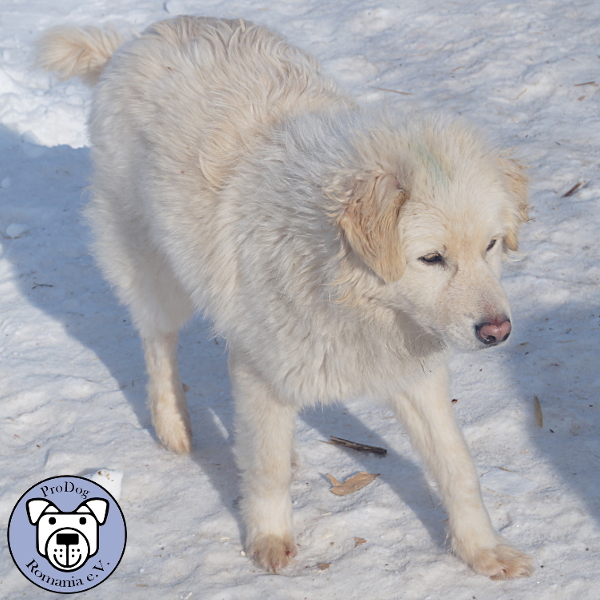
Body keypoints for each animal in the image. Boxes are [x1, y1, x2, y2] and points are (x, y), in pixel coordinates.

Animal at [39, 17, 532, 576]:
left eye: (491, 245)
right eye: (432, 258)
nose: (498, 331)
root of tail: (135, 40)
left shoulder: (415, 377)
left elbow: (457, 467)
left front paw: (483, 551)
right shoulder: (263, 369)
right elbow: (268, 469)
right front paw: (269, 540)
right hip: (152, 269)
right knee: (158, 341)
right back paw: (174, 427)